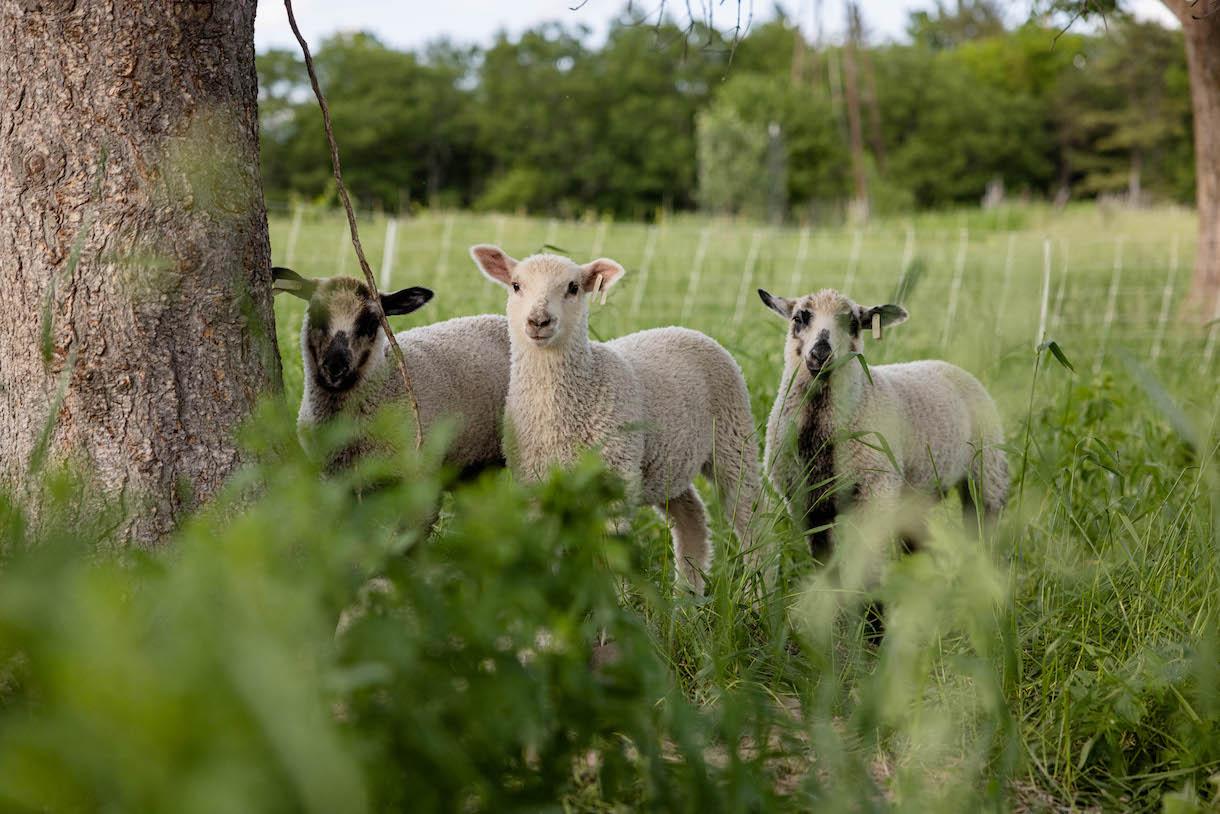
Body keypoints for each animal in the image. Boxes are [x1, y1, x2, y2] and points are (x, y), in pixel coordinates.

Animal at [469, 246, 761, 594]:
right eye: (515, 285)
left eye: (573, 287)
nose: (539, 320)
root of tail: (683, 328)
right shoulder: (537, 488)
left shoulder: (614, 484)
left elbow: (609, 562)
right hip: (667, 463)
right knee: (692, 516)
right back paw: (688, 597)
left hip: (734, 439)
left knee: (752, 520)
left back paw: (759, 594)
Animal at [757, 287, 1008, 562]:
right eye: (798, 318)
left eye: (853, 323)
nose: (821, 353)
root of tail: (946, 364)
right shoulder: (806, 506)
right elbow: (825, 563)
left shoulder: (875, 493)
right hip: (918, 495)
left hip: (987, 473)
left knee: (984, 530)